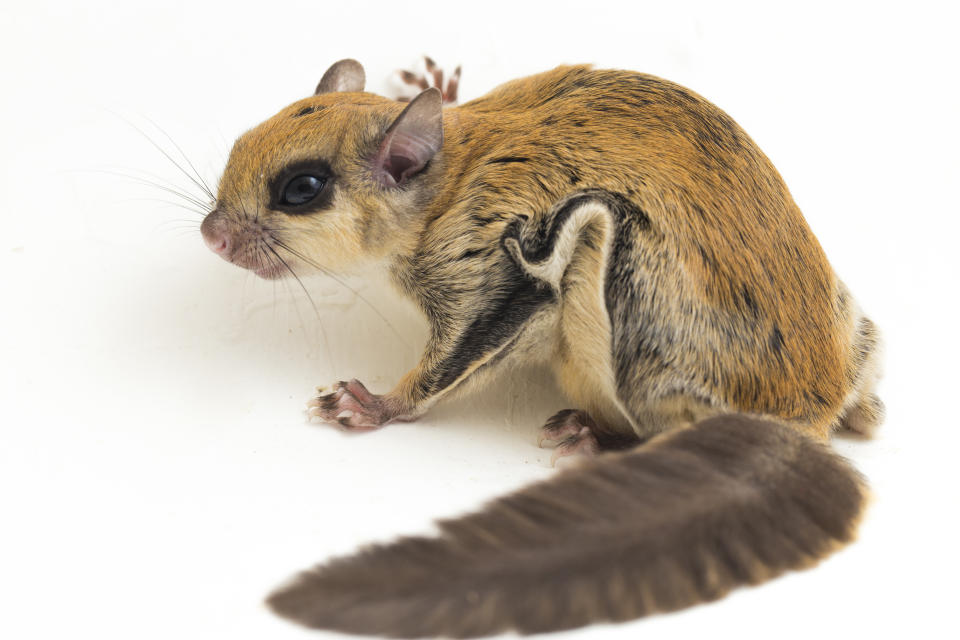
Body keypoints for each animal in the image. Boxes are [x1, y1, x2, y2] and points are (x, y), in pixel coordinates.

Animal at [199, 58, 880, 636]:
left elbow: (450, 362)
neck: (446, 183)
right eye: (240, 143)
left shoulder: (494, 277)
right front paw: (437, 84)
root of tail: (798, 418)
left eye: (302, 187)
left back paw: (596, 436)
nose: (211, 236)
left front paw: (373, 405)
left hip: (610, 272)